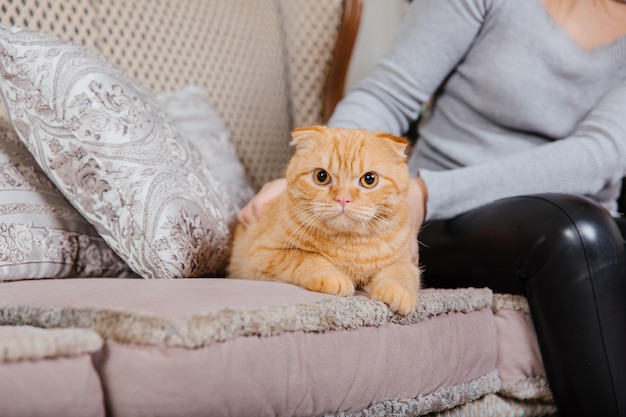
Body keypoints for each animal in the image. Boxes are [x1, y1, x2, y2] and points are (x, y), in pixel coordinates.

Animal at [225, 125, 420, 314]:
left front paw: (398, 291)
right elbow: (308, 258)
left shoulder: (406, 262)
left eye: (369, 179)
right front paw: (332, 277)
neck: (349, 245)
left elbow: (400, 274)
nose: (343, 199)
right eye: (321, 176)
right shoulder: (263, 254)